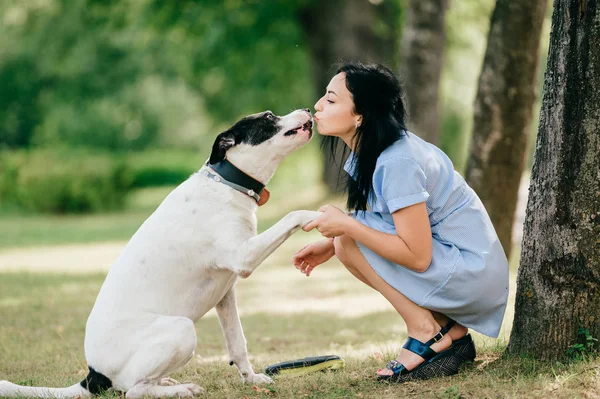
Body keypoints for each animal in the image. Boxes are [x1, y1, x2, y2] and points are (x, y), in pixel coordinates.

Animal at [1, 110, 318, 399]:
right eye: (268, 117)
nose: (307, 110)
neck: (226, 184)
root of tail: (94, 376)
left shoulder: (226, 294)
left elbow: (237, 342)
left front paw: (250, 378)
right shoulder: (244, 256)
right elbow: (293, 215)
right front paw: (319, 215)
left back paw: (167, 382)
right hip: (182, 329)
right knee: (134, 390)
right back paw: (180, 389)